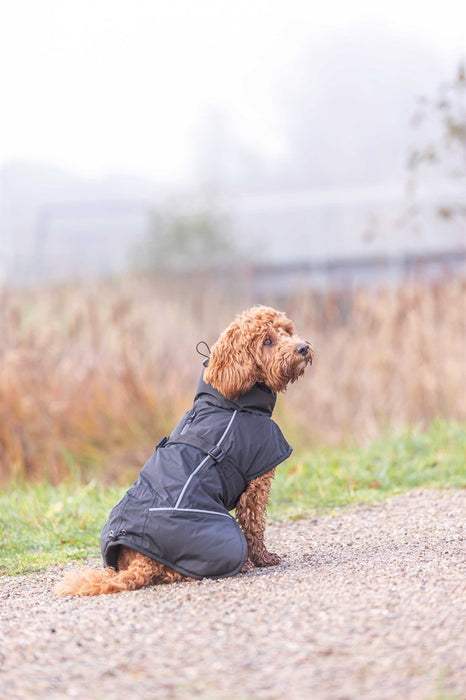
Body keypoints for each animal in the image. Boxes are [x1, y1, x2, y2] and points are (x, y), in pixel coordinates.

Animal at [57, 306, 314, 596]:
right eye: (267, 341)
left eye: (288, 331)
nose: (303, 347)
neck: (231, 402)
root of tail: (139, 561)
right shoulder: (256, 486)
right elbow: (254, 526)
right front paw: (264, 558)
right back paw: (241, 564)